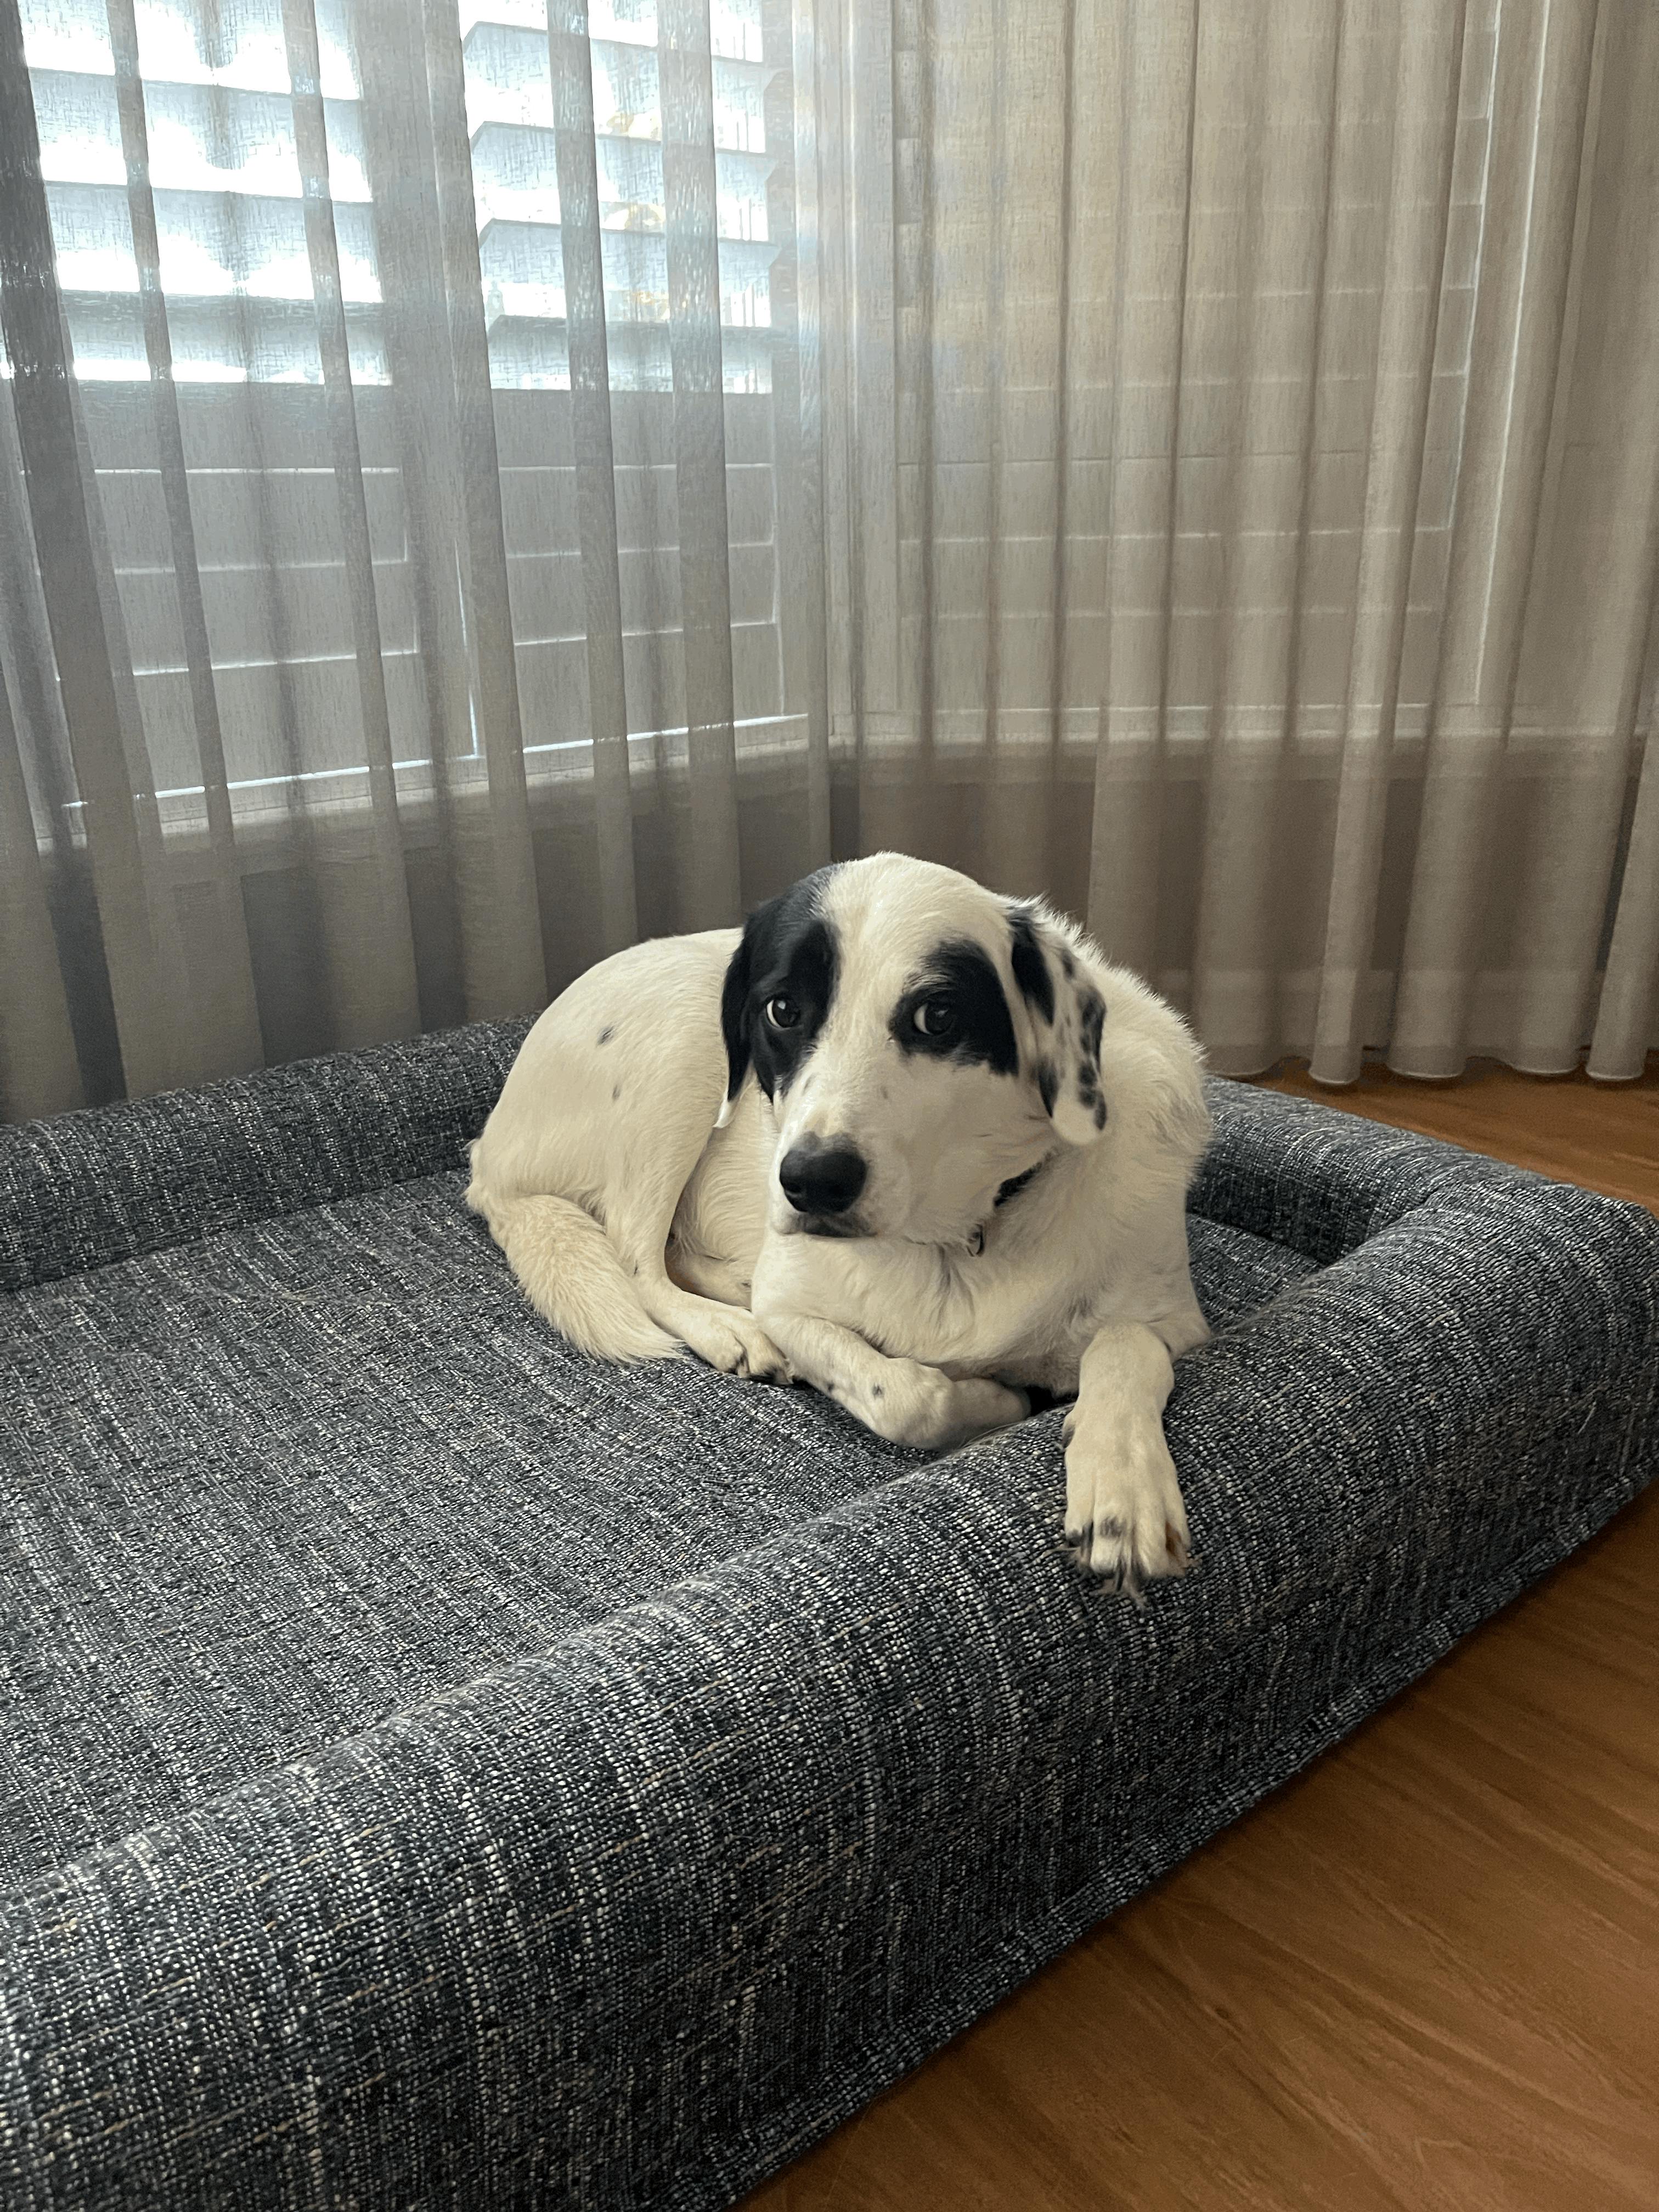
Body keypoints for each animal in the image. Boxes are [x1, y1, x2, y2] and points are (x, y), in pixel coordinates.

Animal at [467, 854, 1212, 1594]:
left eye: (937, 1016)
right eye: (783, 1010)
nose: (812, 1182)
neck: (956, 1237)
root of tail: (486, 1157)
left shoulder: (1177, 1320)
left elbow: (1124, 1343)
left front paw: (1123, 1486)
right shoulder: (794, 1304)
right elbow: (906, 1395)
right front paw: (996, 1401)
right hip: (683, 1052)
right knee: (638, 1262)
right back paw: (732, 1331)